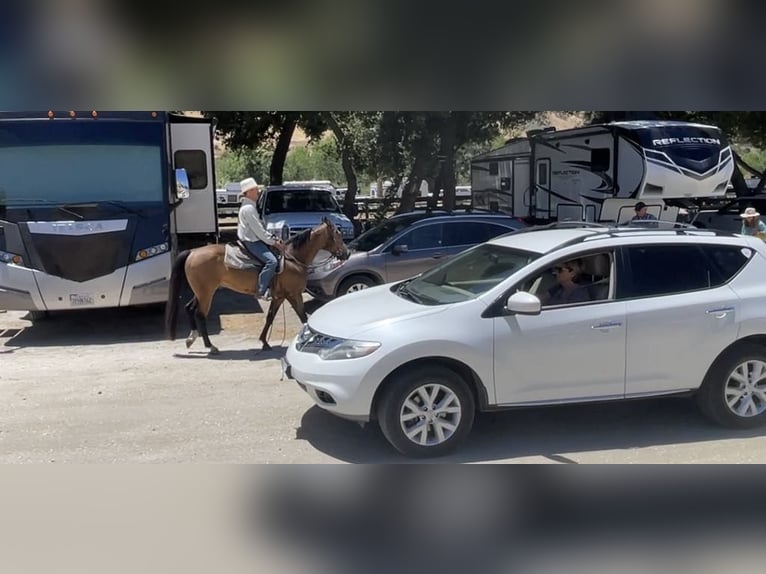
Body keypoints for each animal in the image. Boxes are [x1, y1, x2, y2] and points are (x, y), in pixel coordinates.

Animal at [168, 218, 352, 356]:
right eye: (337, 233)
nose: (347, 253)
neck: (293, 258)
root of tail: (192, 252)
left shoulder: (279, 297)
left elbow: (270, 317)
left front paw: (264, 342)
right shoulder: (293, 294)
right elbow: (303, 316)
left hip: (201, 292)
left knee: (189, 308)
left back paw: (191, 338)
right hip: (206, 293)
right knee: (200, 314)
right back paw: (211, 347)